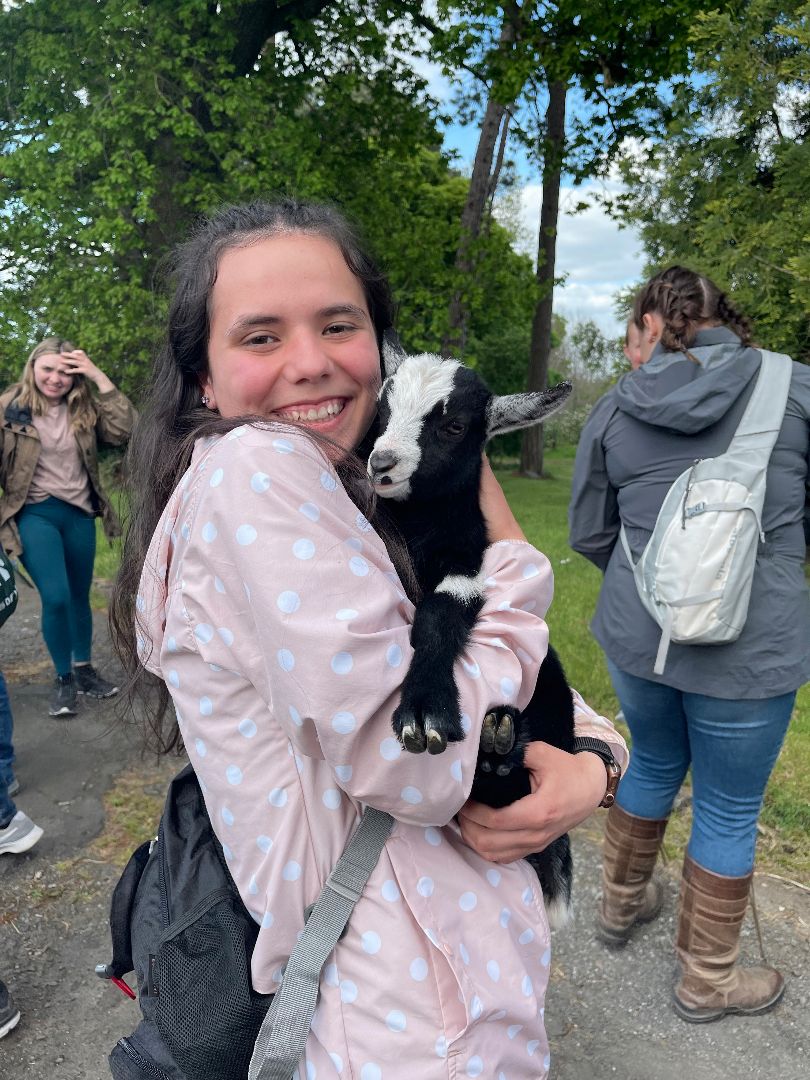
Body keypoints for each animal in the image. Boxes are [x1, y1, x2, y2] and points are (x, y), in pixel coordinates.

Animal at [367, 343, 578, 920]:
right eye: (382, 406)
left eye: (455, 426)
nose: (381, 463)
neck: (419, 527)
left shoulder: (465, 562)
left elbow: (441, 615)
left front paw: (425, 710)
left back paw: (499, 747)